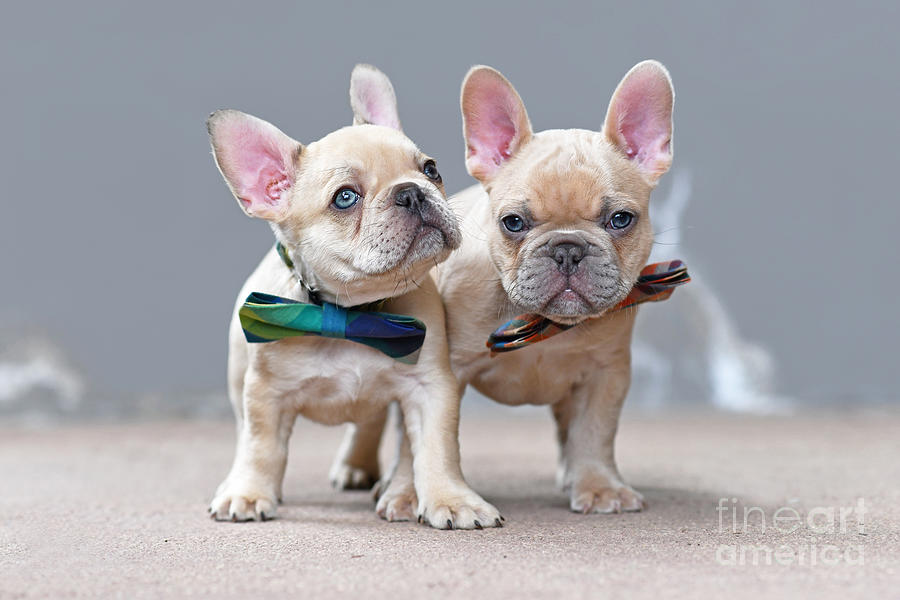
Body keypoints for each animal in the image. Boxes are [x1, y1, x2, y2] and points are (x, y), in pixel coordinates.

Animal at [208, 63, 502, 528]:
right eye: (345, 197)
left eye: (431, 169)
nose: (411, 191)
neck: (351, 311)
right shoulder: (265, 394)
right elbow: (261, 447)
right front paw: (248, 493)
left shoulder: (430, 388)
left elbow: (437, 449)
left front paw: (454, 500)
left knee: (374, 426)